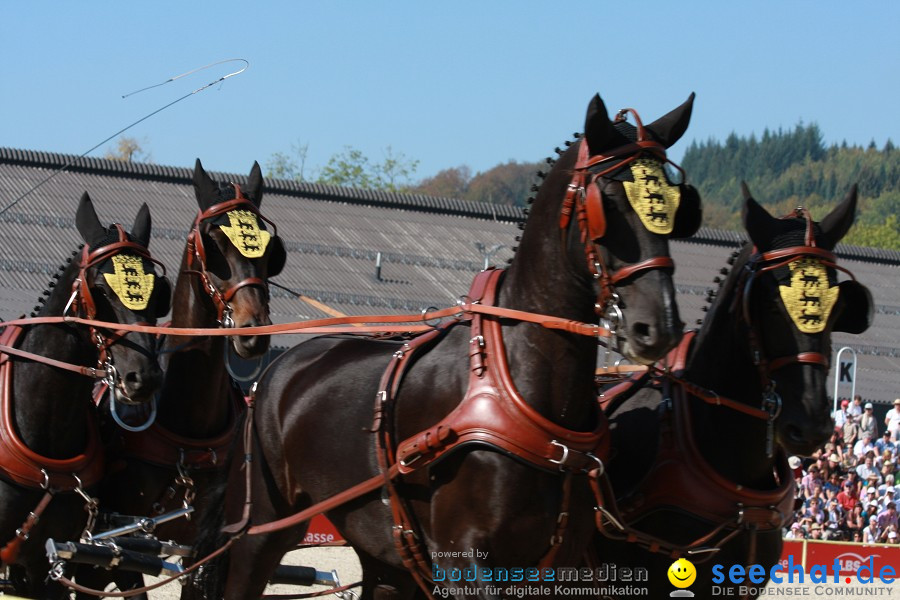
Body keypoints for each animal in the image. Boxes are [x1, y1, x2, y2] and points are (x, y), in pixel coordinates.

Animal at [77, 159, 286, 596]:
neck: (189, 430)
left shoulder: (199, 549)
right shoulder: (120, 543)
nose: (253, 331)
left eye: (269, 248)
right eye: (214, 244)